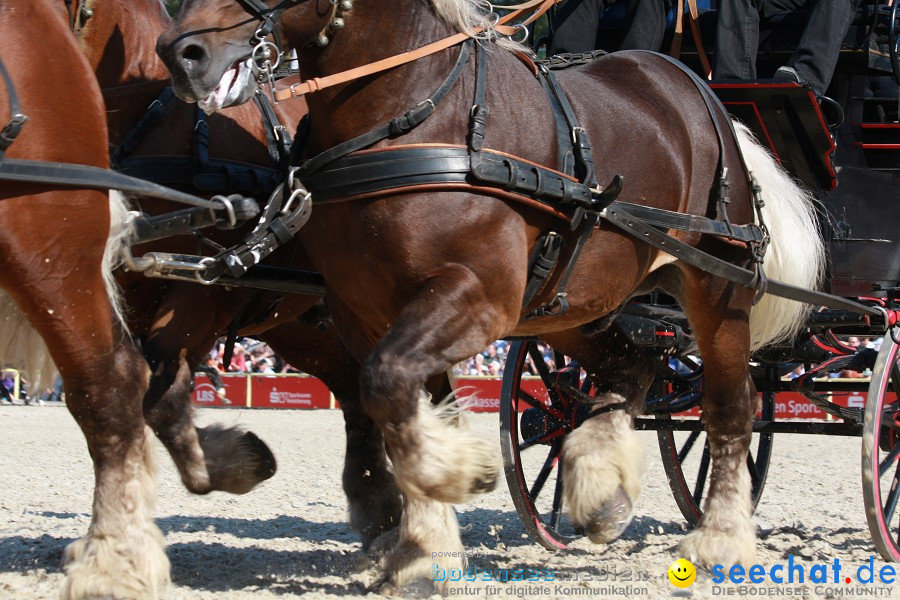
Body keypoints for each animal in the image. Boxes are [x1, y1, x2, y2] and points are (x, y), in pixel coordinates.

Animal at [72, 0, 402, 544]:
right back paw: (377, 501)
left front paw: (237, 462)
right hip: (301, 325)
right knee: (354, 385)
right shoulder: (128, 293)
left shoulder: (209, 292)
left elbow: (158, 393)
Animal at [158, 0, 828, 592]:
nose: (181, 55)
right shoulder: (367, 311)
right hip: (568, 303)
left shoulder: (476, 297)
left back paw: (721, 540)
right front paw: (427, 548)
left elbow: (388, 386)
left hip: (716, 285)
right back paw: (601, 491)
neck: (416, 120)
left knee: (730, 408)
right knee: (630, 363)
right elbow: (402, 403)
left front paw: (458, 476)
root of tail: (703, 95)